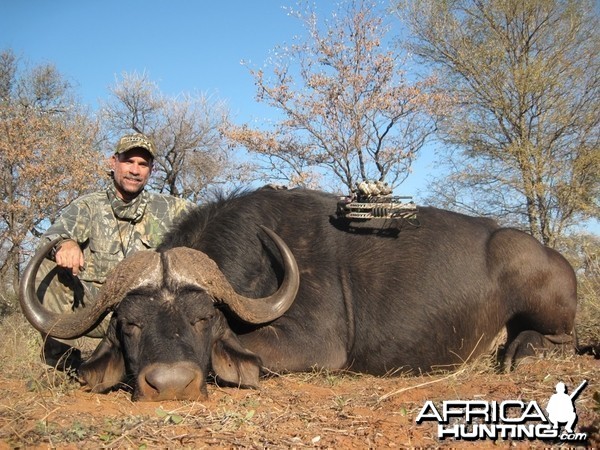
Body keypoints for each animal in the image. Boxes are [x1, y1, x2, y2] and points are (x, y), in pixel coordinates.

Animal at [21, 186, 580, 400]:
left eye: (204, 319)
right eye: (130, 324)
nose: (173, 385)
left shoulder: (313, 345)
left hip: (547, 308)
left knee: (560, 339)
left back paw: (521, 353)